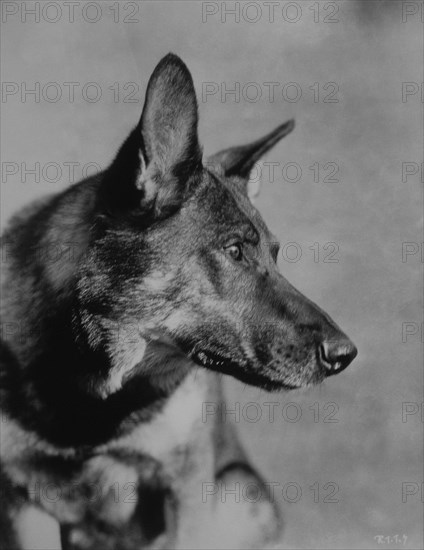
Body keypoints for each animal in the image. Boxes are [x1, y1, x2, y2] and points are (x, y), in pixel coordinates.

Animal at [0, 52, 358, 550]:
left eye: (275, 254)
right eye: (235, 250)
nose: (345, 354)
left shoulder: (185, 489)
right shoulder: (18, 505)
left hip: (241, 494)